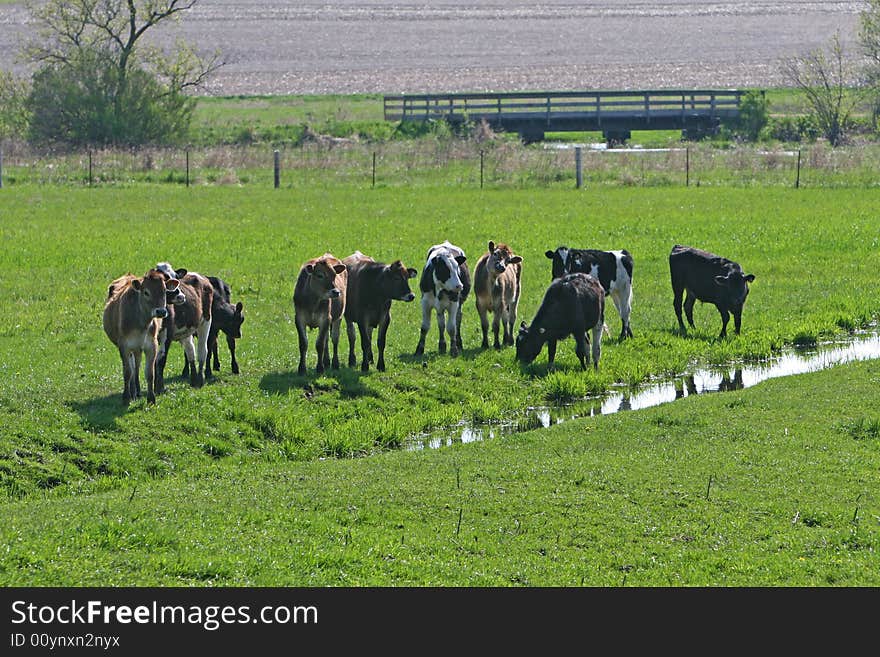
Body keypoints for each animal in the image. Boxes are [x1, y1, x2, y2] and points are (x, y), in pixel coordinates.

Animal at [102, 268, 177, 402]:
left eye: (164, 291)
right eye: (146, 292)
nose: (161, 311)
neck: (141, 323)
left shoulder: (152, 345)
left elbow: (150, 373)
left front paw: (151, 398)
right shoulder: (124, 346)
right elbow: (127, 372)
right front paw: (126, 397)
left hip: (138, 348)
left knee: (136, 367)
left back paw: (137, 391)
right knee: (132, 369)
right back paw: (133, 392)